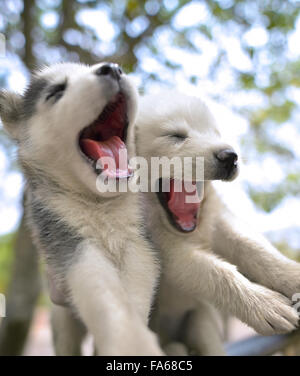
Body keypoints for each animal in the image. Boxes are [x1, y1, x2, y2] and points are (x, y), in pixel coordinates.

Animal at [0, 62, 163, 356]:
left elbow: (136, 290)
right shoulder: (69, 241)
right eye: (56, 91)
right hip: (61, 320)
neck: (99, 204)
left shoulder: (140, 243)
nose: (113, 68)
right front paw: (130, 342)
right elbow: (102, 292)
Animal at [135, 91, 300, 356]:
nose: (230, 156)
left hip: (200, 319)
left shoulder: (218, 219)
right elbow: (216, 271)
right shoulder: (164, 248)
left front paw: (293, 276)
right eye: (175, 136)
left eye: (216, 134)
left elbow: (253, 247)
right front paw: (265, 305)